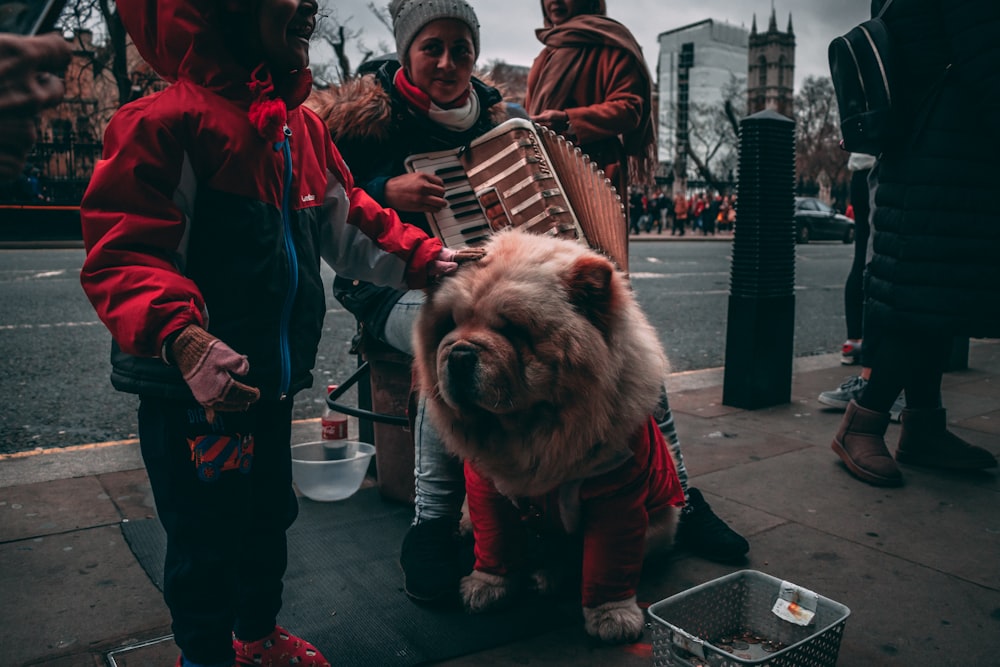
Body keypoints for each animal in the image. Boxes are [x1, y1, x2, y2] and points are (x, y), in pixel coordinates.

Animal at [410, 228, 684, 640]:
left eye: (511, 329)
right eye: (448, 326)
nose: (458, 354)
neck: (531, 433)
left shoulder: (617, 494)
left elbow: (608, 561)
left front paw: (612, 616)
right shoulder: (486, 490)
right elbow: (495, 543)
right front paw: (486, 586)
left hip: (660, 522)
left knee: (576, 558)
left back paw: (550, 576)